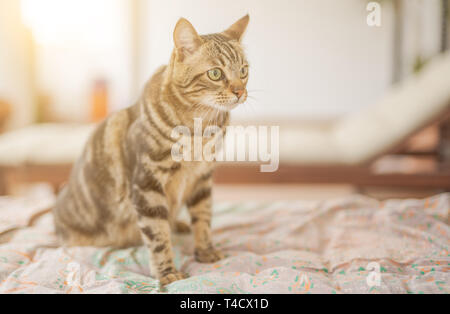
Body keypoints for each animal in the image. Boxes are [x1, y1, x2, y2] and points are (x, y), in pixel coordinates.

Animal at [53, 14, 250, 286]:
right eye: (215, 73)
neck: (199, 129)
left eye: (244, 71)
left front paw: (205, 250)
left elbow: (203, 218)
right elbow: (158, 236)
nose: (240, 91)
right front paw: (167, 273)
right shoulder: (147, 184)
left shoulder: (202, 178)